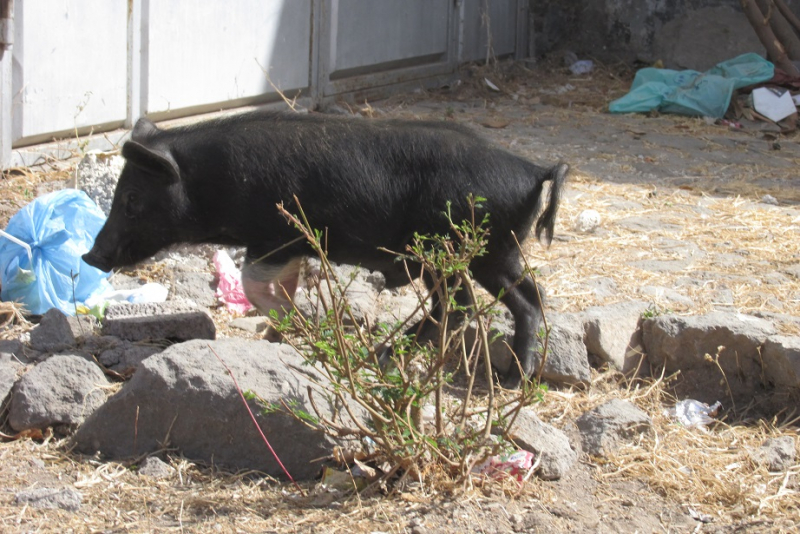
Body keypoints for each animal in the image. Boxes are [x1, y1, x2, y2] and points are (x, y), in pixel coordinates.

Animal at [83, 113, 568, 390]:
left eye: (131, 199)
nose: (91, 256)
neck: (212, 179)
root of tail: (533, 170)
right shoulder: (288, 247)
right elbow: (283, 286)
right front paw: (279, 335)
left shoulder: (275, 236)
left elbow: (252, 283)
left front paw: (294, 327)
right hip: (491, 254)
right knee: (512, 298)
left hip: (466, 252)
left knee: (485, 303)